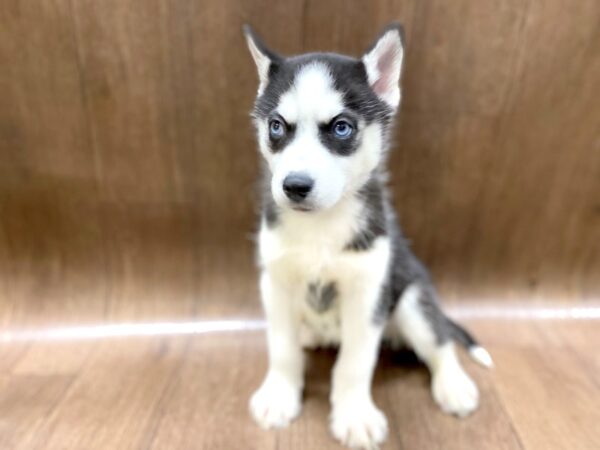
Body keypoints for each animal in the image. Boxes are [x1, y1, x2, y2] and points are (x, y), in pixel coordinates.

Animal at [244, 22, 492, 448]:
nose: (295, 186)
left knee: (440, 340)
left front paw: (354, 414)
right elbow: (282, 348)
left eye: (341, 127)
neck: (320, 227)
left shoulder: (367, 291)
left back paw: (454, 385)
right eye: (276, 126)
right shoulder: (276, 283)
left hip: (411, 299)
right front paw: (279, 396)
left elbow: (355, 362)